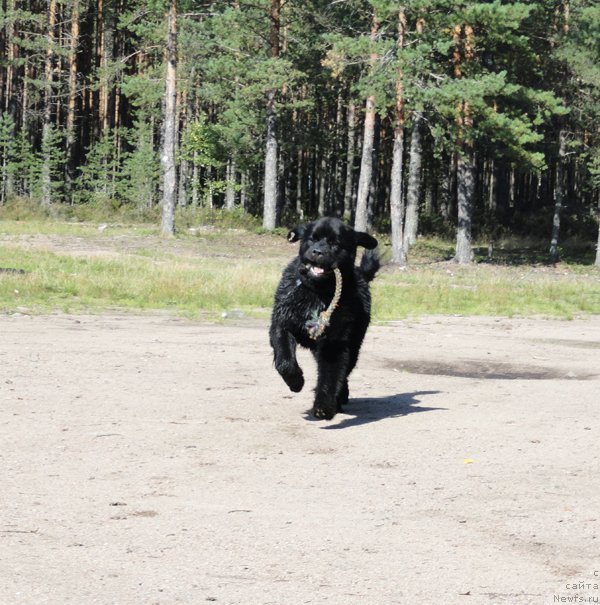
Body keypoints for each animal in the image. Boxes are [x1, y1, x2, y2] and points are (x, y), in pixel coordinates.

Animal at [270, 217, 380, 420]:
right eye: (312, 239)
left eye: (336, 243)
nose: (317, 252)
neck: (317, 294)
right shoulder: (282, 324)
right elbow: (284, 360)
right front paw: (296, 381)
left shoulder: (334, 343)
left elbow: (331, 376)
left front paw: (324, 407)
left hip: (354, 344)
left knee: (345, 372)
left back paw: (341, 398)